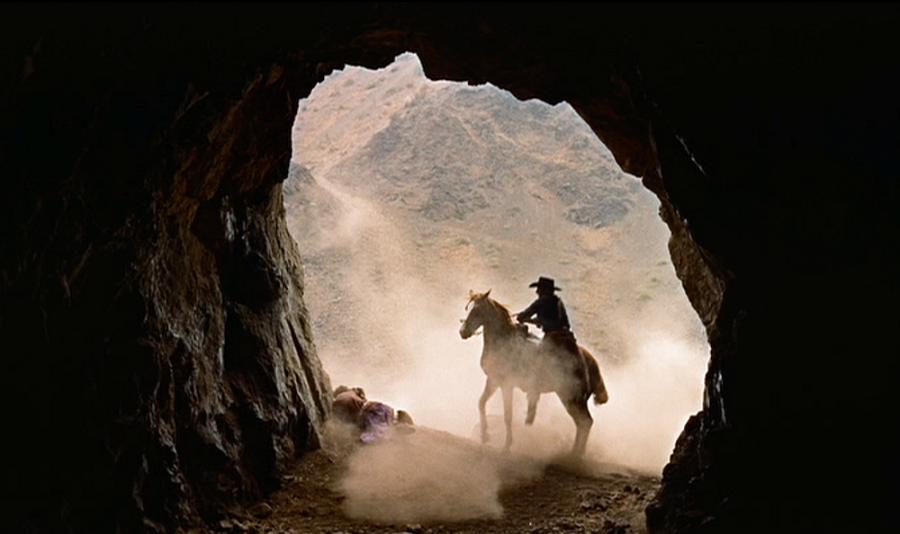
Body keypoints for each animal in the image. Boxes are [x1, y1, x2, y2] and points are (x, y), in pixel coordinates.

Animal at [458, 289, 609, 457]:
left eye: (477, 310)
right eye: (468, 307)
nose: (463, 332)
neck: (504, 340)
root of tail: (588, 361)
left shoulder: (507, 385)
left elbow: (508, 415)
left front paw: (506, 446)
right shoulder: (493, 380)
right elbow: (481, 403)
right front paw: (485, 436)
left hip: (571, 399)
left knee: (584, 422)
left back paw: (574, 455)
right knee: (584, 423)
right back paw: (576, 453)